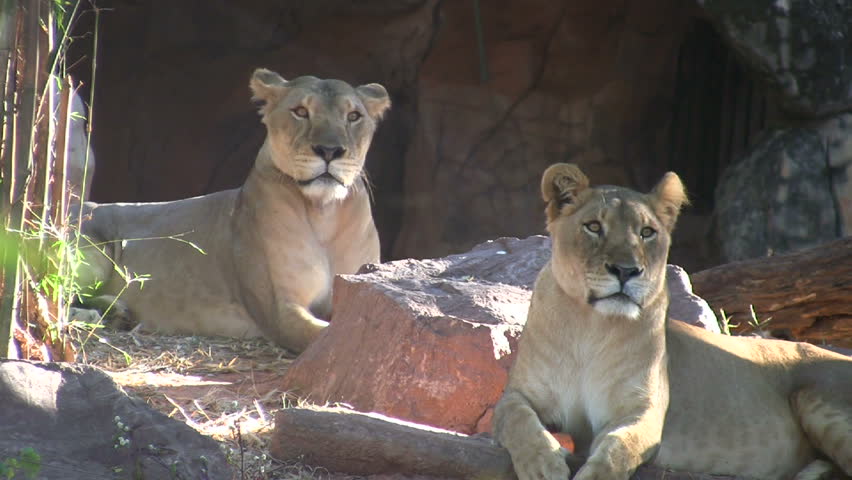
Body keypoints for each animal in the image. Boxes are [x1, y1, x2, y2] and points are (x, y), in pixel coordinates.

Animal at [76, 68, 389, 353]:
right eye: (301, 111)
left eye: (353, 116)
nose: (329, 151)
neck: (324, 214)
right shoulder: (281, 311)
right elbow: (333, 336)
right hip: (94, 252)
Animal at [493, 163, 852, 480]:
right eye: (593, 226)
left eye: (647, 233)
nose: (625, 271)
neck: (591, 326)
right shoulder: (518, 395)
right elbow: (517, 421)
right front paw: (543, 465)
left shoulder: (645, 413)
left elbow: (617, 449)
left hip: (815, 399)